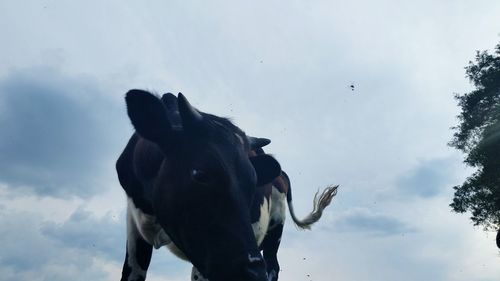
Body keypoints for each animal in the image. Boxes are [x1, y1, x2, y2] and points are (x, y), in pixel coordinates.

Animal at [115, 90, 338, 280]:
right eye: (199, 173)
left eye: (253, 183)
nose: (253, 274)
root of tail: (281, 174)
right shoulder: (135, 225)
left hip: (275, 226)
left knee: (272, 264)